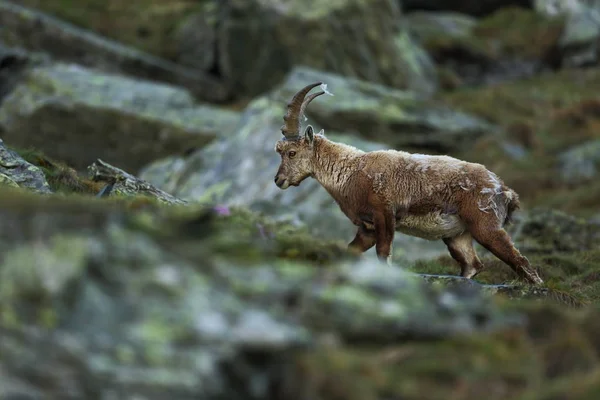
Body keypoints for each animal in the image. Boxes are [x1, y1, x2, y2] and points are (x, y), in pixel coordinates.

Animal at [274, 81, 548, 284]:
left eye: (291, 152)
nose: (278, 180)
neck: (351, 170)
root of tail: (504, 189)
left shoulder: (384, 215)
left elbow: (383, 254)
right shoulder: (367, 227)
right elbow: (351, 250)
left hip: (485, 226)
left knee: (523, 265)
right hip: (457, 235)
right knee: (472, 264)